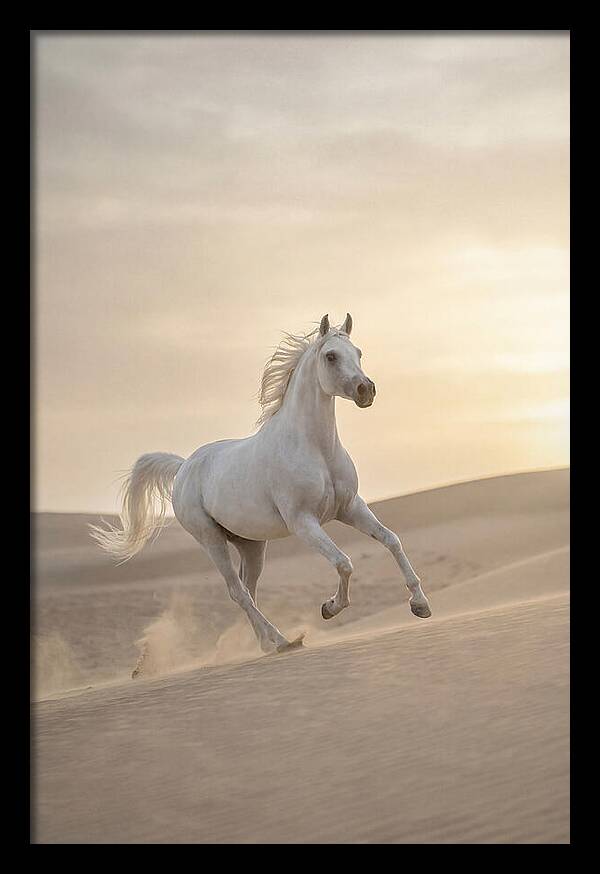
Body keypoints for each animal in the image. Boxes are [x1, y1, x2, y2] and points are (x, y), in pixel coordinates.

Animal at [90, 313, 431, 665]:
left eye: (359, 353)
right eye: (331, 356)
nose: (366, 390)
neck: (315, 448)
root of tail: (184, 467)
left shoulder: (350, 508)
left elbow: (391, 540)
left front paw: (420, 605)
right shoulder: (304, 522)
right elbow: (344, 562)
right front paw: (329, 608)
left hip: (252, 546)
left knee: (248, 591)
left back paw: (267, 644)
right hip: (210, 540)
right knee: (237, 592)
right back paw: (282, 641)